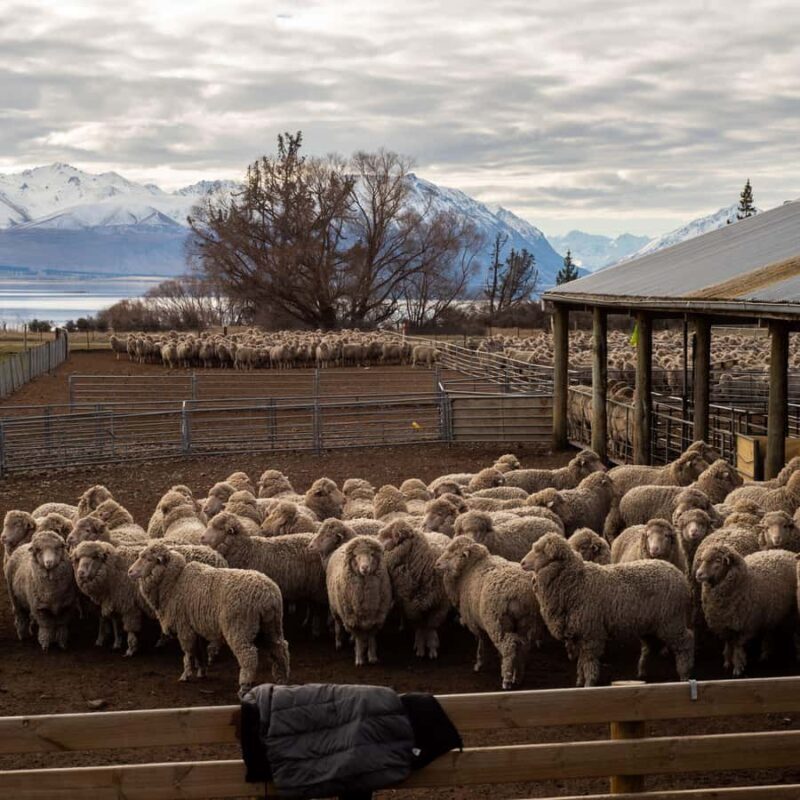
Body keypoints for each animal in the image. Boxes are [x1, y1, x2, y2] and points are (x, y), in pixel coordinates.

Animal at [129, 542, 290, 697]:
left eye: (148, 559)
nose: (130, 571)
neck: (174, 583)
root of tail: (268, 594)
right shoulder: (195, 626)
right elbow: (199, 651)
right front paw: (202, 671)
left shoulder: (184, 626)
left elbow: (188, 653)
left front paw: (186, 674)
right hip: (272, 624)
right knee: (280, 648)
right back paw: (282, 680)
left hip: (239, 627)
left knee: (249, 656)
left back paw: (244, 686)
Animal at [325, 535, 393, 666]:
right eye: (355, 555)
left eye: (371, 554)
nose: (365, 568)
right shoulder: (352, 618)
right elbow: (360, 639)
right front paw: (360, 658)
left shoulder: (376, 617)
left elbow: (371, 638)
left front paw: (372, 657)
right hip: (335, 608)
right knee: (338, 624)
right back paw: (338, 642)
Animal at [434, 536, 542, 689]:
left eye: (453, 552)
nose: (436, 564)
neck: (470, 568)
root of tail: (519, 593)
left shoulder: (474, 621)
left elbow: (481, 641)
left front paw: (479, 664)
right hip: (528, 623)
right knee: (523, 647)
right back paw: (518, 676)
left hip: (496, 622)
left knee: (509, 647)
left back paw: (507, 680)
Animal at [522, 533, 694, 687]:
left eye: (539, 551)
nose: (522, 563)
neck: (577, 581)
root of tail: (678, 573)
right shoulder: (579, 633)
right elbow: (580, 662)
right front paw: (579, 682)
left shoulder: (591, 633)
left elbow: (588, 663)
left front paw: (589, 684)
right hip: (651, 625)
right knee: (650, 646)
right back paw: (642, 672)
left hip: (672, 621)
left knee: (686, 642)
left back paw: (684, 674)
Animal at [695, 545, 798, 676]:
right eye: (703, 560)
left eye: (717, 561)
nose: (698, 574)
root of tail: (787, 552)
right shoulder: (725, 625)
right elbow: (728, 644)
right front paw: (727, 662)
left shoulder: (744, 627)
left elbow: (737, 646)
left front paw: (738, 667)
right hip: (770, 613)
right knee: (769, 632)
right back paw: (765, 655)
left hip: (792, 613)